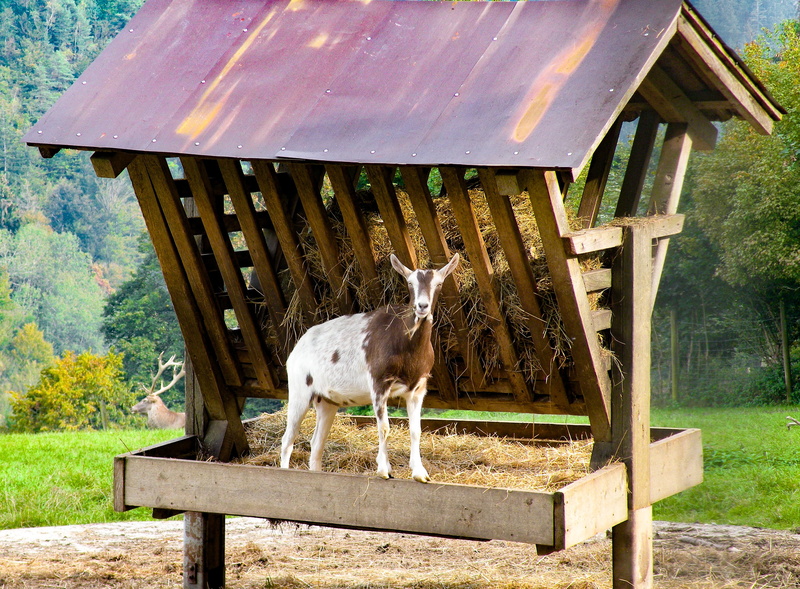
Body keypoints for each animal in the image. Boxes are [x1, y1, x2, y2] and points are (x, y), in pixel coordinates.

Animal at [280, 253, 460, 483]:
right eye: (410, 283)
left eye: (439, 283)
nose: (422, 306)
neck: (404, 343)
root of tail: (297, 348)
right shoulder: (379, 383)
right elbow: (384, 427)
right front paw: (384, 470)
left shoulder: (418, 388)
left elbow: (416, 430)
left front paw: (420, 473)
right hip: (299, 389)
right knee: (288, 438)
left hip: (326, 401)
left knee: (316, 443)